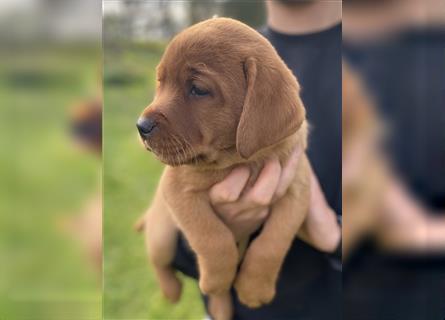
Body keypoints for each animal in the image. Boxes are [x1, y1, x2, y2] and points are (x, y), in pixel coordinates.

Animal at [137, 18, 310, 320]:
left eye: (198, 89)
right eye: (161, 83)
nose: (140, 126)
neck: (244, 161)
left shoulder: (297, 190)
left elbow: (273, 241)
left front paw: (254, 289)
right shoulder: (177, 190)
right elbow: (214, 237)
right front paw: (216, 280)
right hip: (162, 236)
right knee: (160, 262)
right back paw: (172, 292)